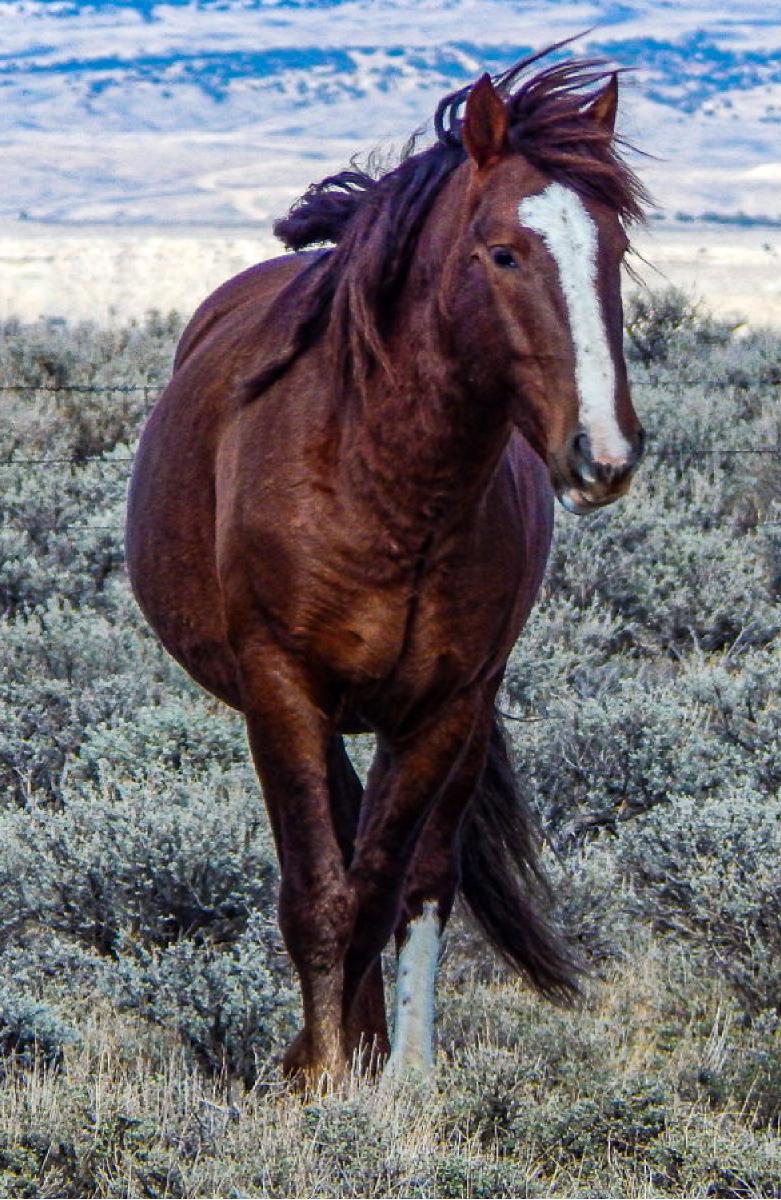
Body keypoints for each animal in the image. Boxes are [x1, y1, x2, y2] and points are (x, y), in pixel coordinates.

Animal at [125, 47, 648, 1087]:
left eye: (612, 251)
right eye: (503, 253)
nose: (602, 455)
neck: (389, 485)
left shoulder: (445, 705)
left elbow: (389, 887)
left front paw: (386, 1083)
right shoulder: (283, 689)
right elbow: (319, 890)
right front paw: (322, 1076)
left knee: (417, 874)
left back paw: (398, 1061)